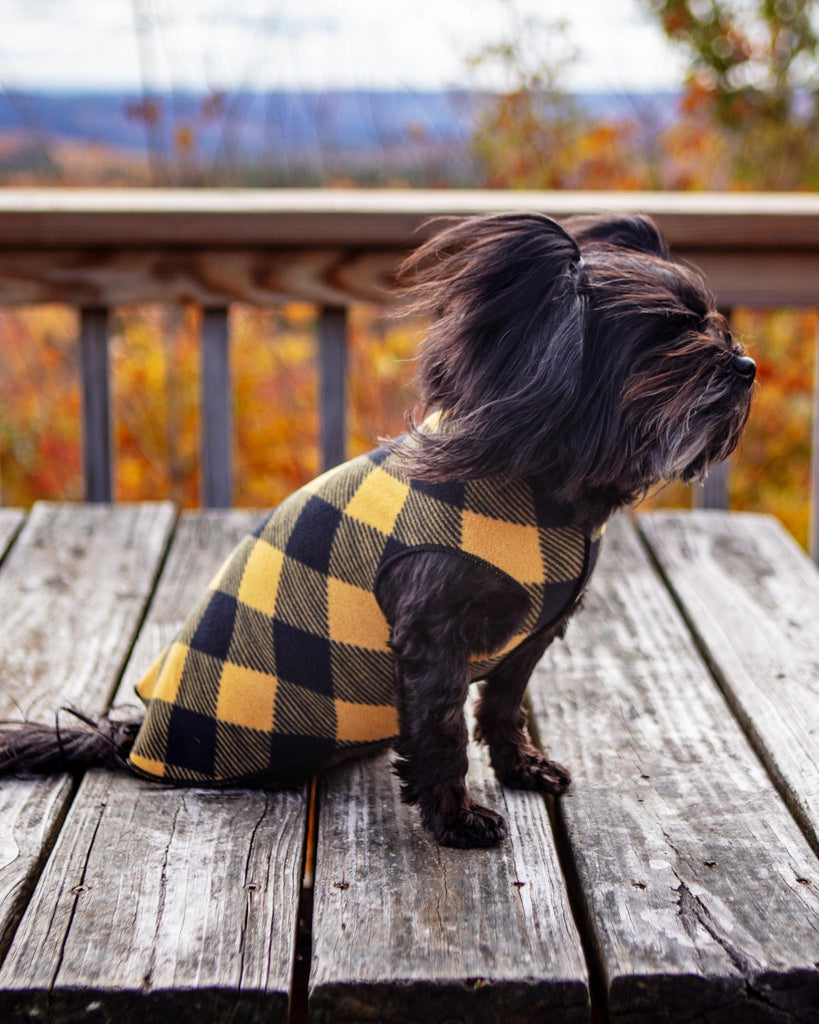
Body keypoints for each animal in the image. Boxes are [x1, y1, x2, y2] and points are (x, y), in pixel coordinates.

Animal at [0, 209, 753, 847]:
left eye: (716, 322)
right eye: (669, 336)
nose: (745, 365)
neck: (546, 493)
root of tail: (133, 738)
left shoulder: (527, 642)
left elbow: (503, 708)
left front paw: (522, 769)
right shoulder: (434, 638)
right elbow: (443, 732)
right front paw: (456, 819)